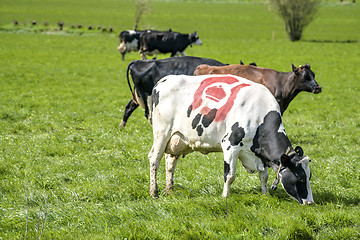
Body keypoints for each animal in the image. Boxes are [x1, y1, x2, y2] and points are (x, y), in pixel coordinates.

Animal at [148, 73, 314, 204]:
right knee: (154, 159)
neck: (260, 116)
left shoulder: (261, 153)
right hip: (161, 133)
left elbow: (264, 176)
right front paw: (225, 196)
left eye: (309, 176)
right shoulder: (230, 145)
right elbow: (230, 176)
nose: (310, 202)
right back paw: (154, 192)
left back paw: (169, 190)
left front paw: (265, 195)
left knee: (170, 163)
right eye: (300, 178)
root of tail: (163, 80)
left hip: (178, 140)